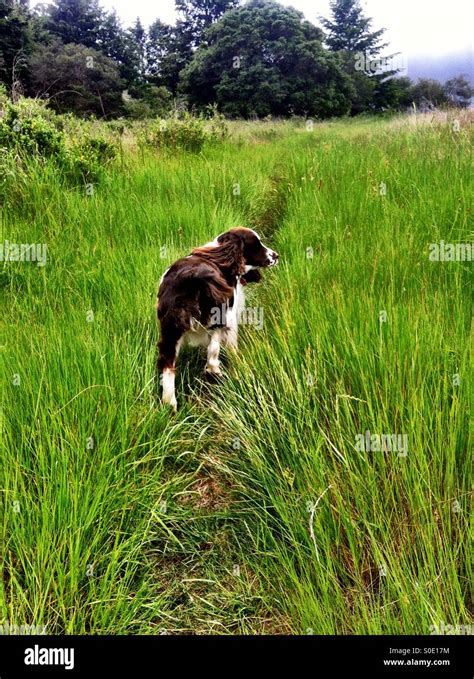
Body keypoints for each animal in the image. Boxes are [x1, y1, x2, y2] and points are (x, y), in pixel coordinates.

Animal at [157, 228, 278, 410]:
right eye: (257, 244)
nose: (276, 255)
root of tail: (192, 278)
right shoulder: (231, 319)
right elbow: (229, 346)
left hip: (171, 333)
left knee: (168, 367)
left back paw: (170, 404)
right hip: (220, 317)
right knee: (213, 352)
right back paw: (215, 371)